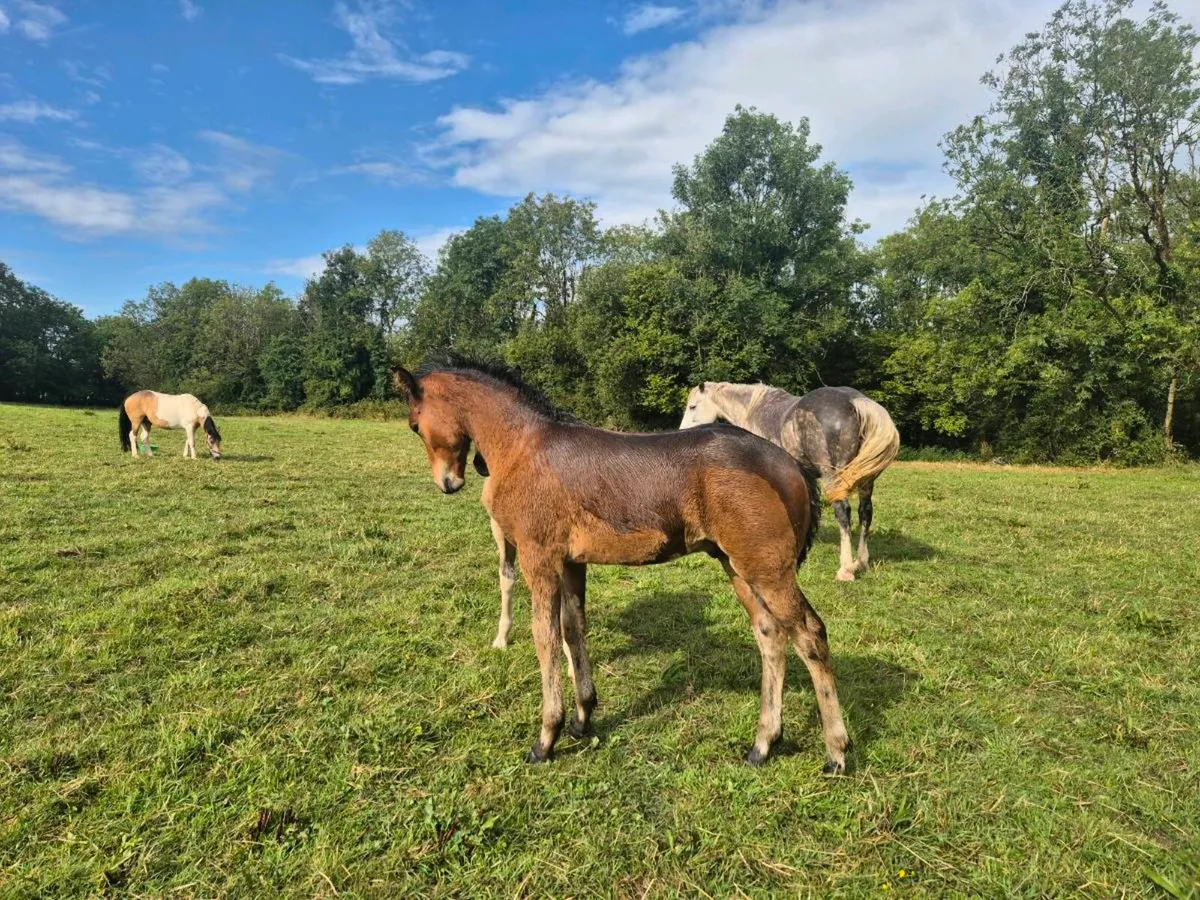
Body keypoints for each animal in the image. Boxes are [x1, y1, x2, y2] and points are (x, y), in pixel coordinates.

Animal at [392, 359, 851, 772]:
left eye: (414, 425)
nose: (448, 482)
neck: (524, 445)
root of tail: (790, 464)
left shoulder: (538, 558)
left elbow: (545, 636)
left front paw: (546, 738)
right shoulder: (571, 563)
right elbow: (573, 628)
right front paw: (582, 719)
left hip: (768, 571)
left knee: (810, 634)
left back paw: (836, 751)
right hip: (738, 568)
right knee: (771, 635)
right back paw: (763, 745)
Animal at [680, 383, 899, 582]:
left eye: (692, 406)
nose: (682, 432)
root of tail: (855, 401)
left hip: (834, 477)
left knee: (843, 512)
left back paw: (846, 569)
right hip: (865, 481)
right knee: (865, 512)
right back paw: (861, 562)